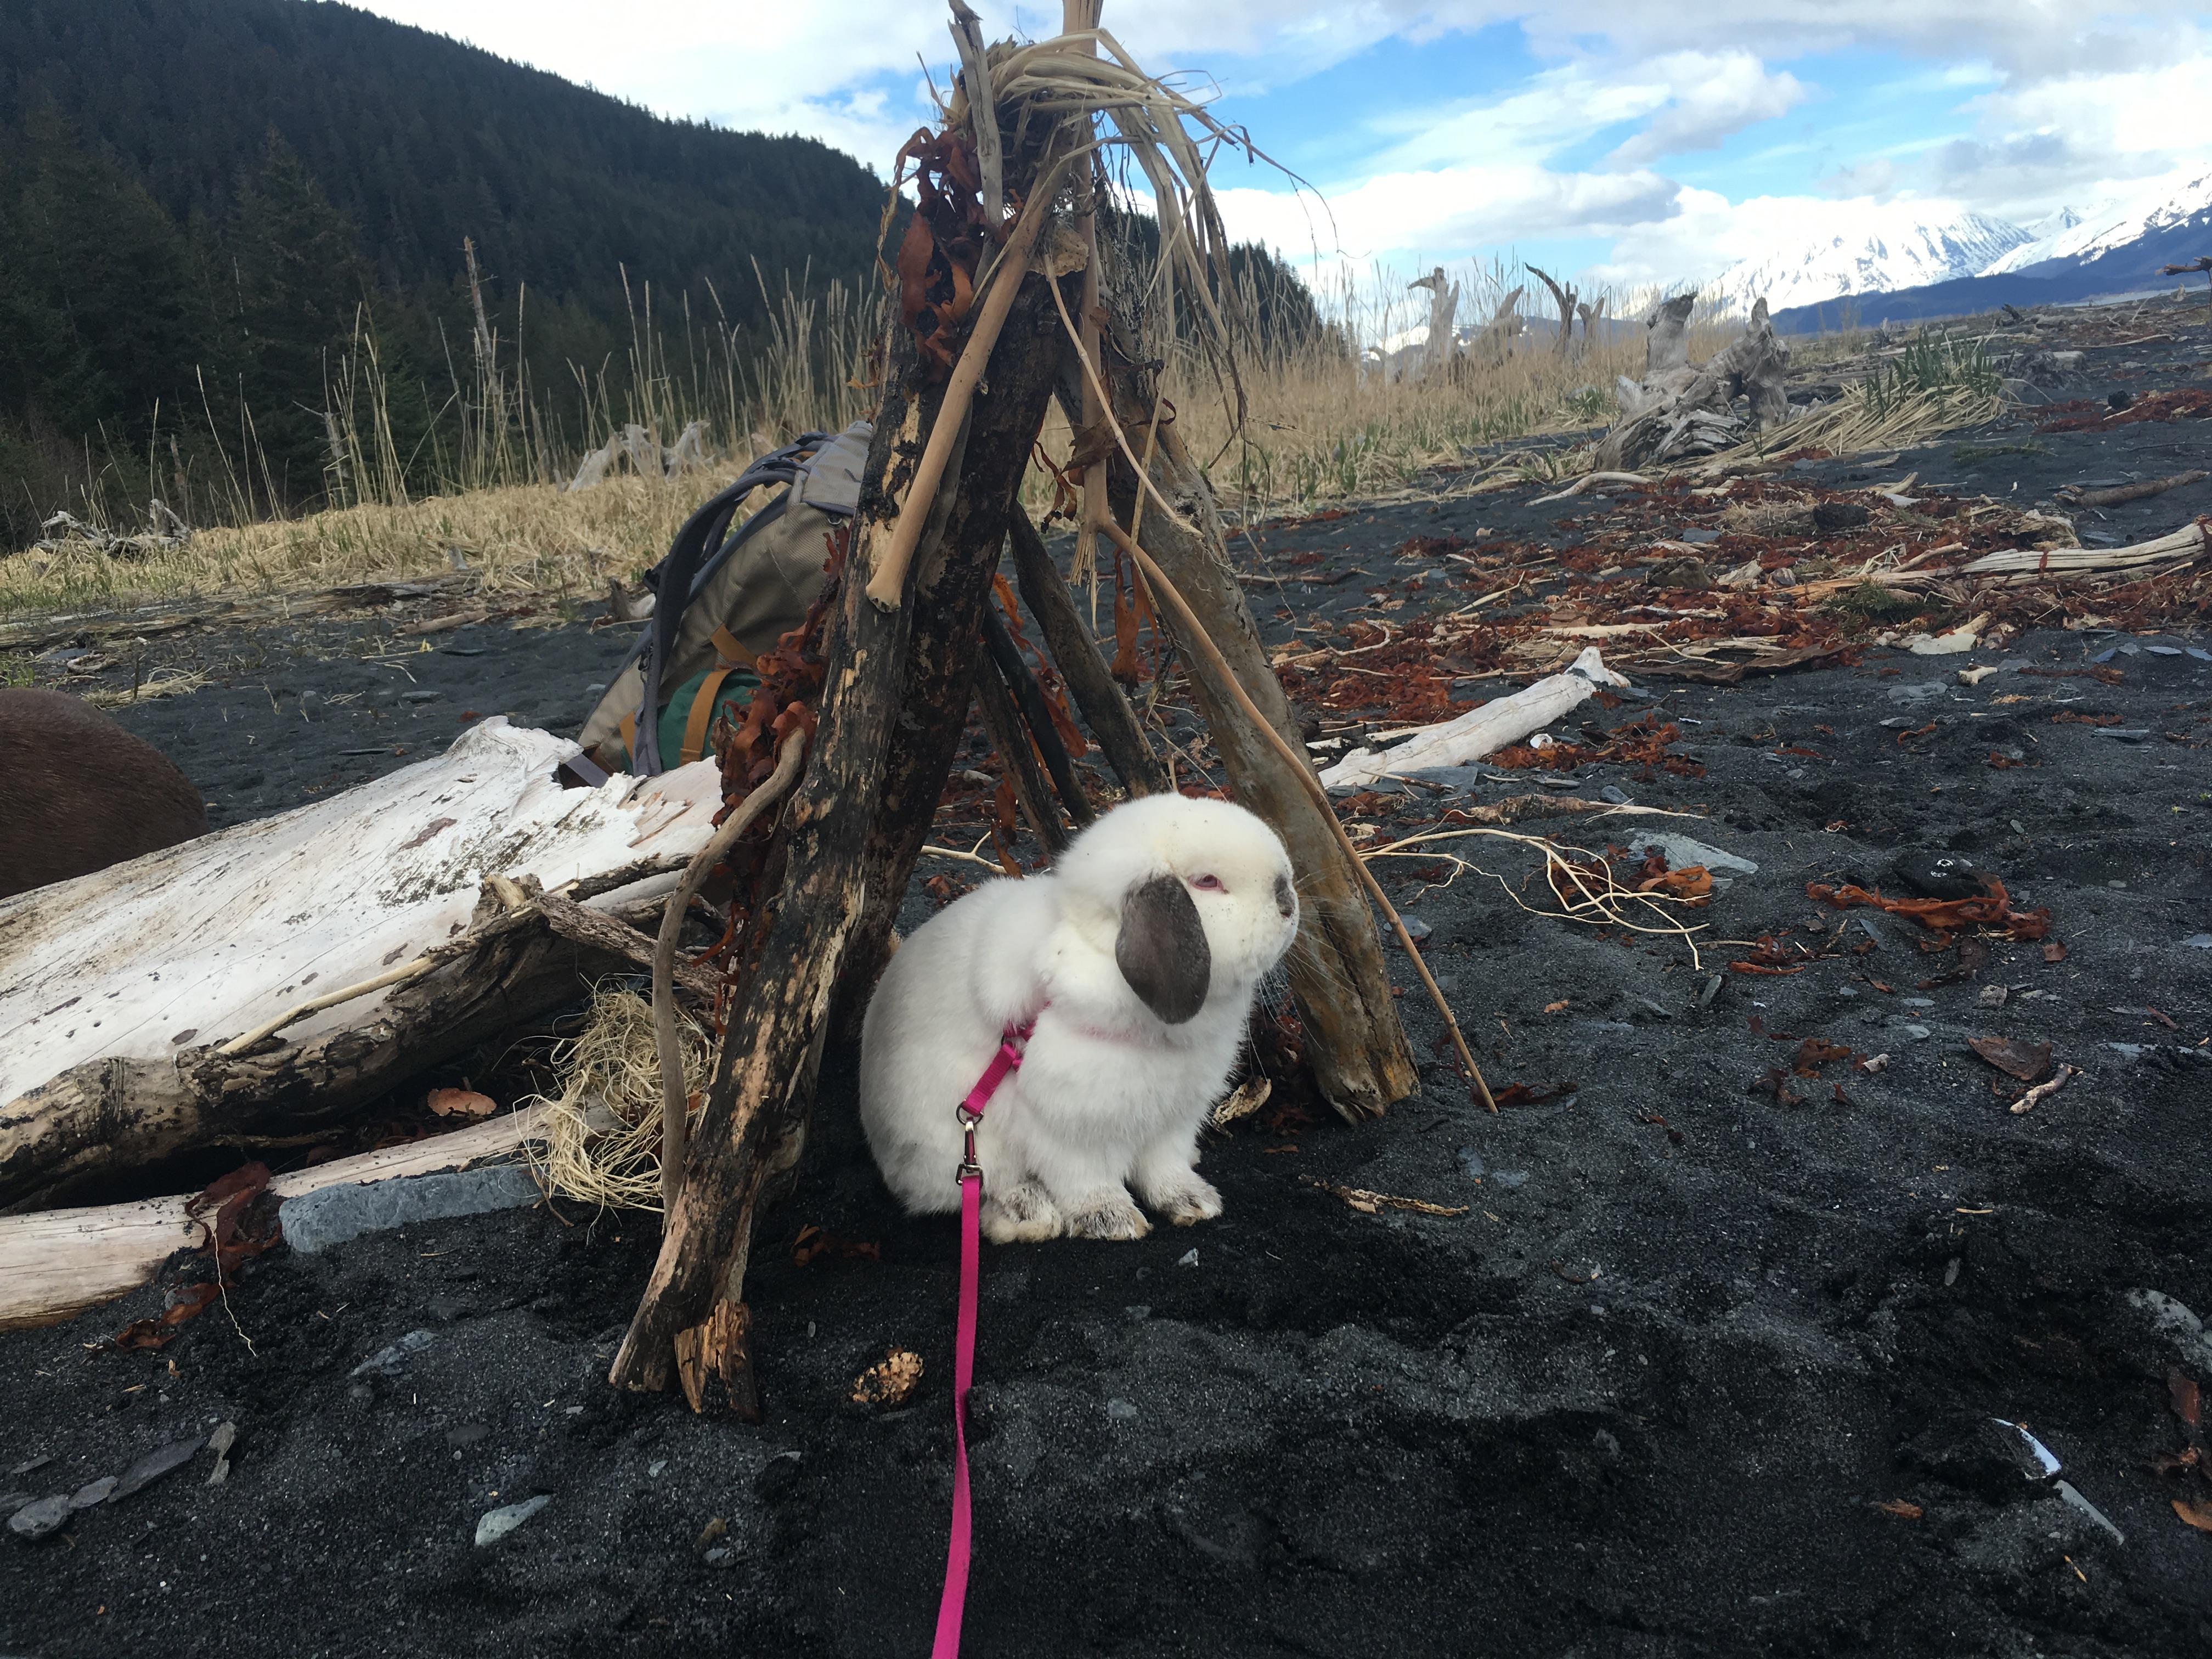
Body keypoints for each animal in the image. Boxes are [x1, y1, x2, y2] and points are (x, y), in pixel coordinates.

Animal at [849, 796, 1291, 1248]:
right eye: (1207, 881)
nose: (1288, 901)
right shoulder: (1067, 1130)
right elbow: (1086, 1180)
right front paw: (1113, 1222)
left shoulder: (1172, 1120)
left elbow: (1164, 1167)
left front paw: (1194, 1202)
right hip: (962, 1147)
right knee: (983, 1189)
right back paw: (1027, 1215)